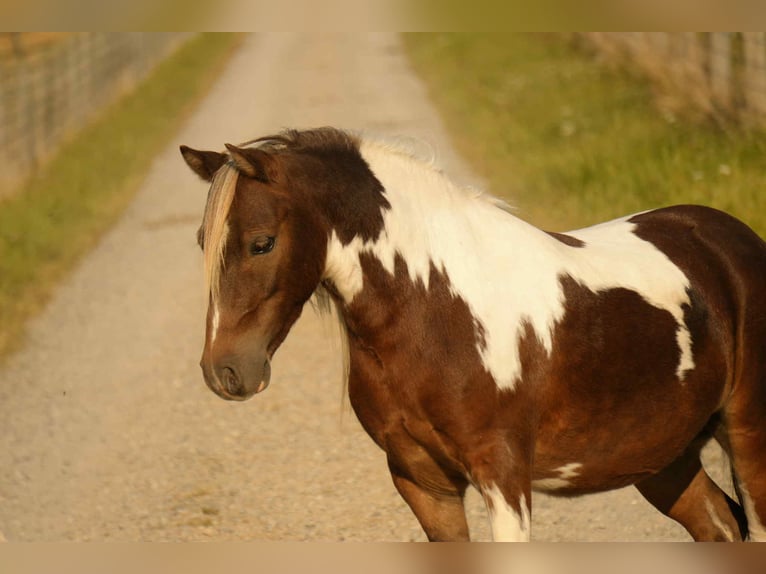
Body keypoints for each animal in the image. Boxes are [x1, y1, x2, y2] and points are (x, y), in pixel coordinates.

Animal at [180, 127, 766, 542]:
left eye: (262, 242)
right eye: (203, 241)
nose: (225, 371)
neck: (436, 310)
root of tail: (733, 240)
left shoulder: (503, 480)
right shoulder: (423, 482)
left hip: (746, 439)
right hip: (663, 457)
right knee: (718, 525)